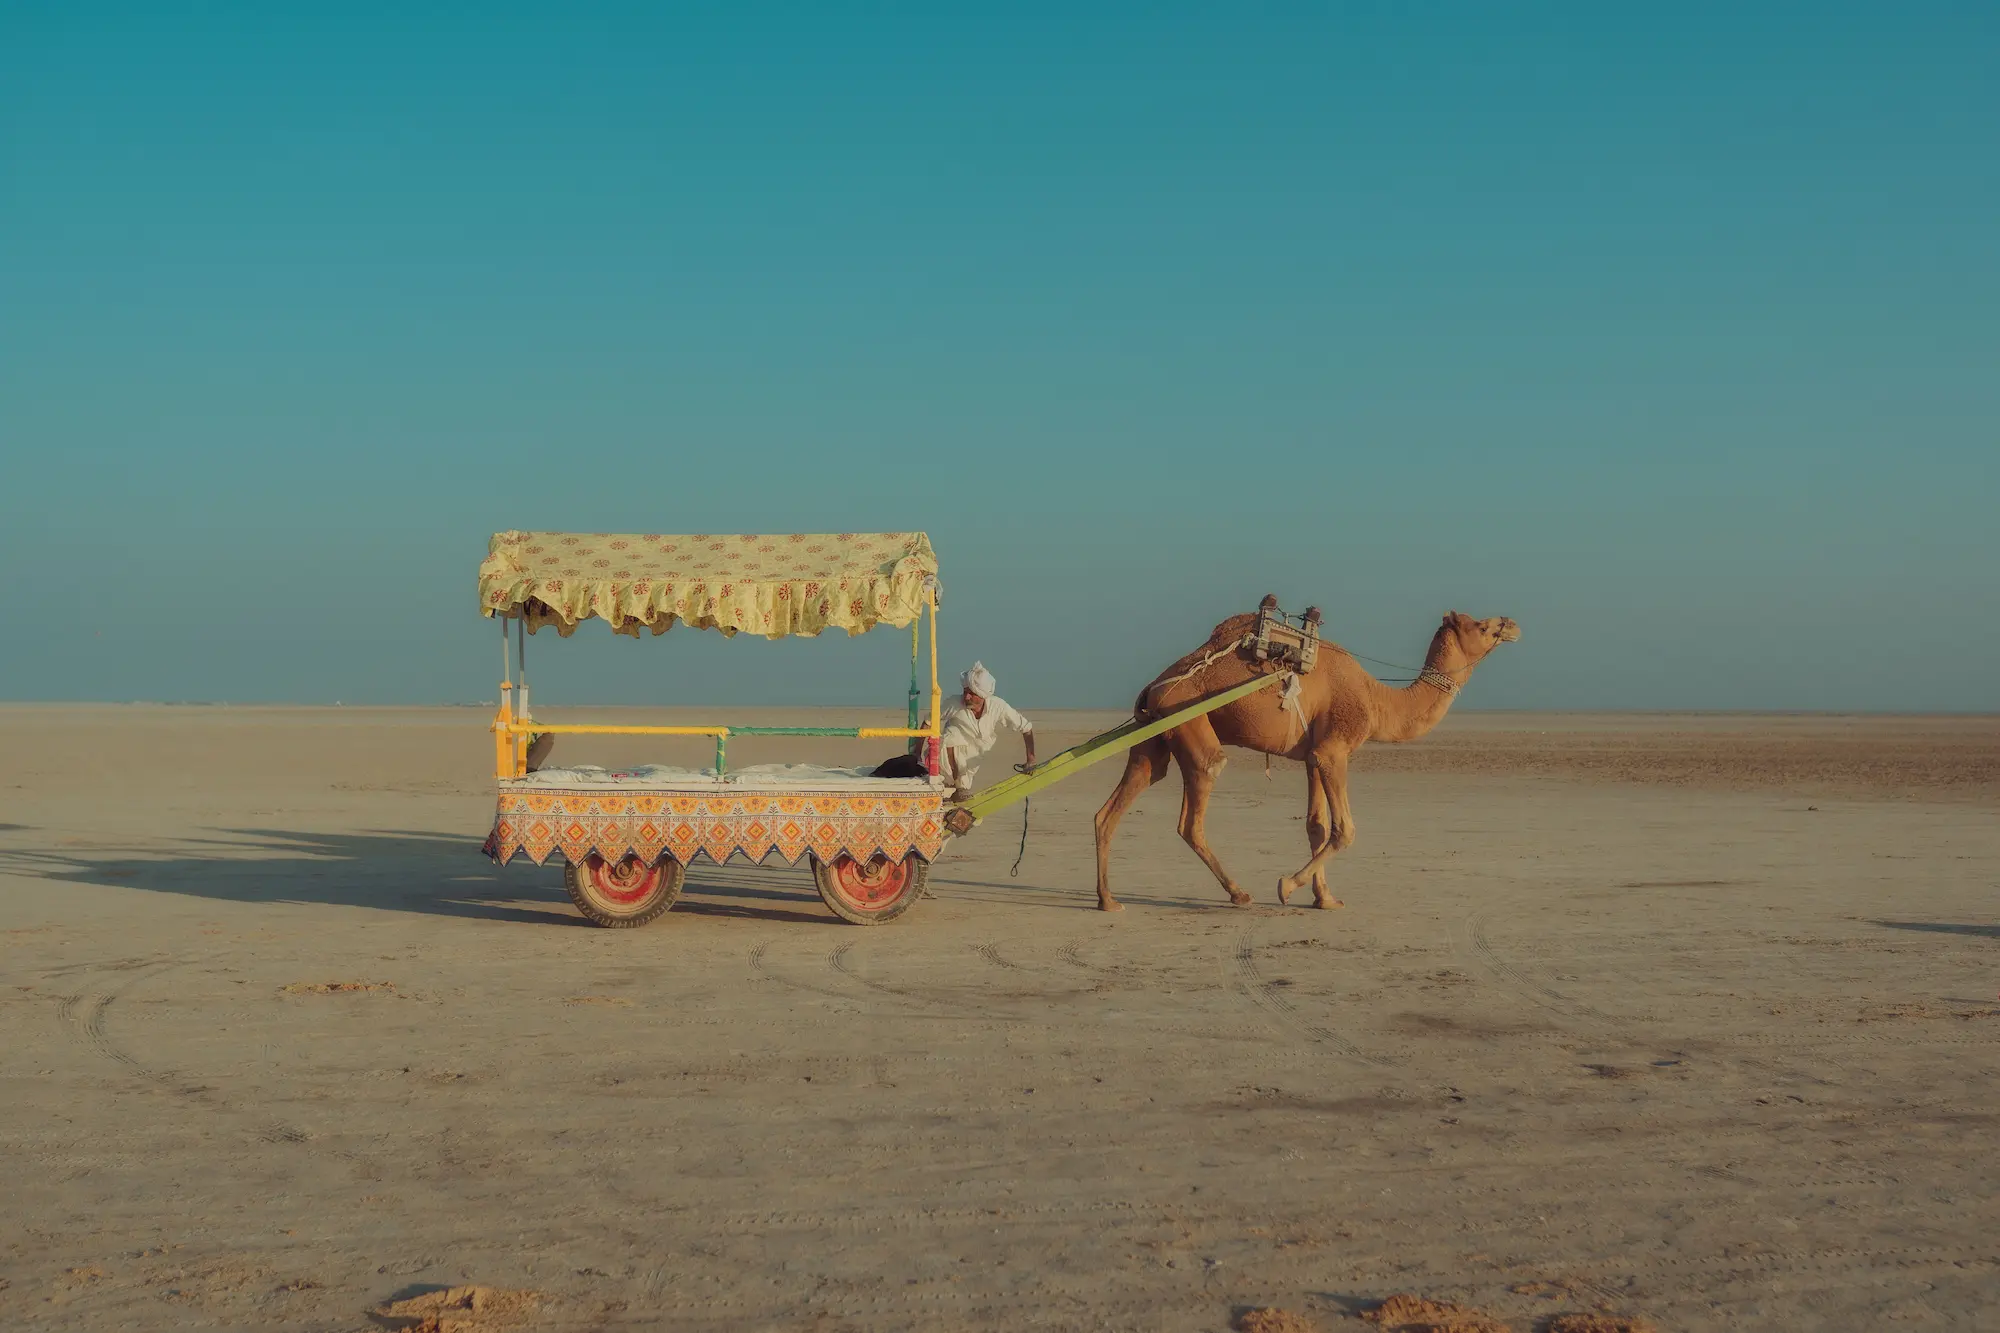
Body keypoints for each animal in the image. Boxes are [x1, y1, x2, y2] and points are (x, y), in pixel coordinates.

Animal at [1092, 606, 1520, 912]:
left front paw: (1325, 898)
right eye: (1483, 626)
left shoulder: (1313, 755)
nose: (1512, 624)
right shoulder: (1335, 750)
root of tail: (1152, 688)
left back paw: (1108, 900)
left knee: (1113, 807)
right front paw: (1287, 886)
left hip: (1153, 739)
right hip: (1189, 724)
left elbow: (1316, 825)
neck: (1377, 702)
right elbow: (1344, 829)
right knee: (1194, 811)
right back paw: (1239, 894)